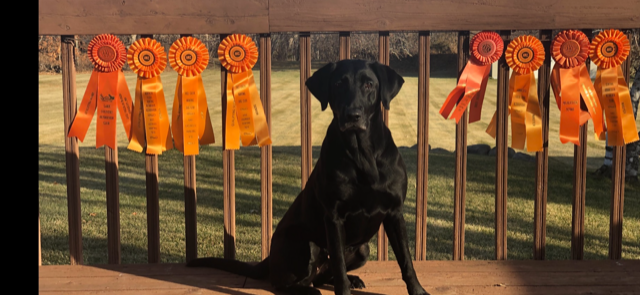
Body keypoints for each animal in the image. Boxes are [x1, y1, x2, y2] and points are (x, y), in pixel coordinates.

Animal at [190, 60, 430, 295]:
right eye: (338, 84)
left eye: (369, 85)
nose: (352, 115)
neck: (363, 155)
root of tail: (269, 257)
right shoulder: (333, 216)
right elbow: (339, 266)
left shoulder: (394, 212)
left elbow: (406, 261)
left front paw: (418, 291)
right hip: (305, 244)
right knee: (287, 283)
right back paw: (310, 290)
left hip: (363, 249)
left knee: (322, 276)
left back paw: (351, 280)